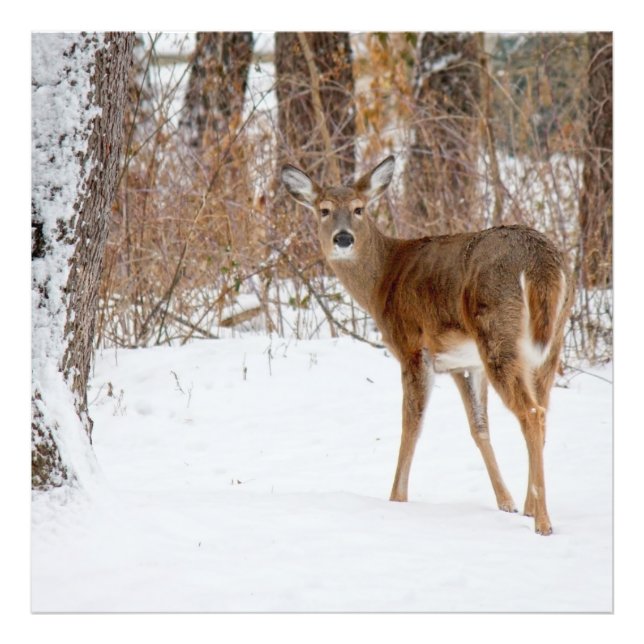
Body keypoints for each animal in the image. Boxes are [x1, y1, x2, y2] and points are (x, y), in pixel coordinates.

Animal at [281, 155, 573, 535]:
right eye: (324, 209)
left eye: (359, 208)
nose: (343, 238)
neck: (382, 281)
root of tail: (540, 263)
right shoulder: (461, 363)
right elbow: (479, 427)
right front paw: (506, 503)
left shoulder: (411, 346)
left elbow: (411, 425)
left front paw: (396, 499)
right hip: (550, 343)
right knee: (542, 409)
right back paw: (530, 507)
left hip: (497, 330)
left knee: (533, 412)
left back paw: (543, 522)